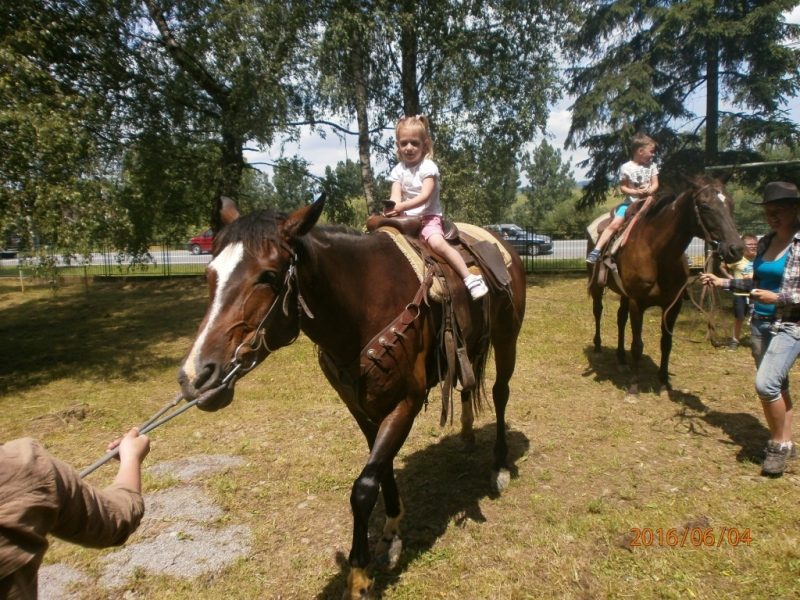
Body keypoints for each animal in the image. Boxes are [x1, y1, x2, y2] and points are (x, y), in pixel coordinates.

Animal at [177, 196, 524, 596]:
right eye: (210, 273)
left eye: (268, 276)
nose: (195, 376)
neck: (362, 306)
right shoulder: (361, 408)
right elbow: (382, 470)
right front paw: (391, 535)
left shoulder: (405, 403)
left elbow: (363, 488)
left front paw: (359, 575)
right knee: (467, 385)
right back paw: (466, 436)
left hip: (507, 338)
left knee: (500, 394)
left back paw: (499, 466)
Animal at [588, 173, 744, 398]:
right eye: (705, 205)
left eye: (731, 203)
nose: (736, 249)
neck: (656, 252)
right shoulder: (637, 303)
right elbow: (637, 345)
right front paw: (633, 388)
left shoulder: (673, 304)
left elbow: (666, 343)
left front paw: (663, 384)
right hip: (598, 287)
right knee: (598, 311)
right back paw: (599, 348)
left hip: (625, 294)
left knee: (620, 319)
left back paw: (622, 360)